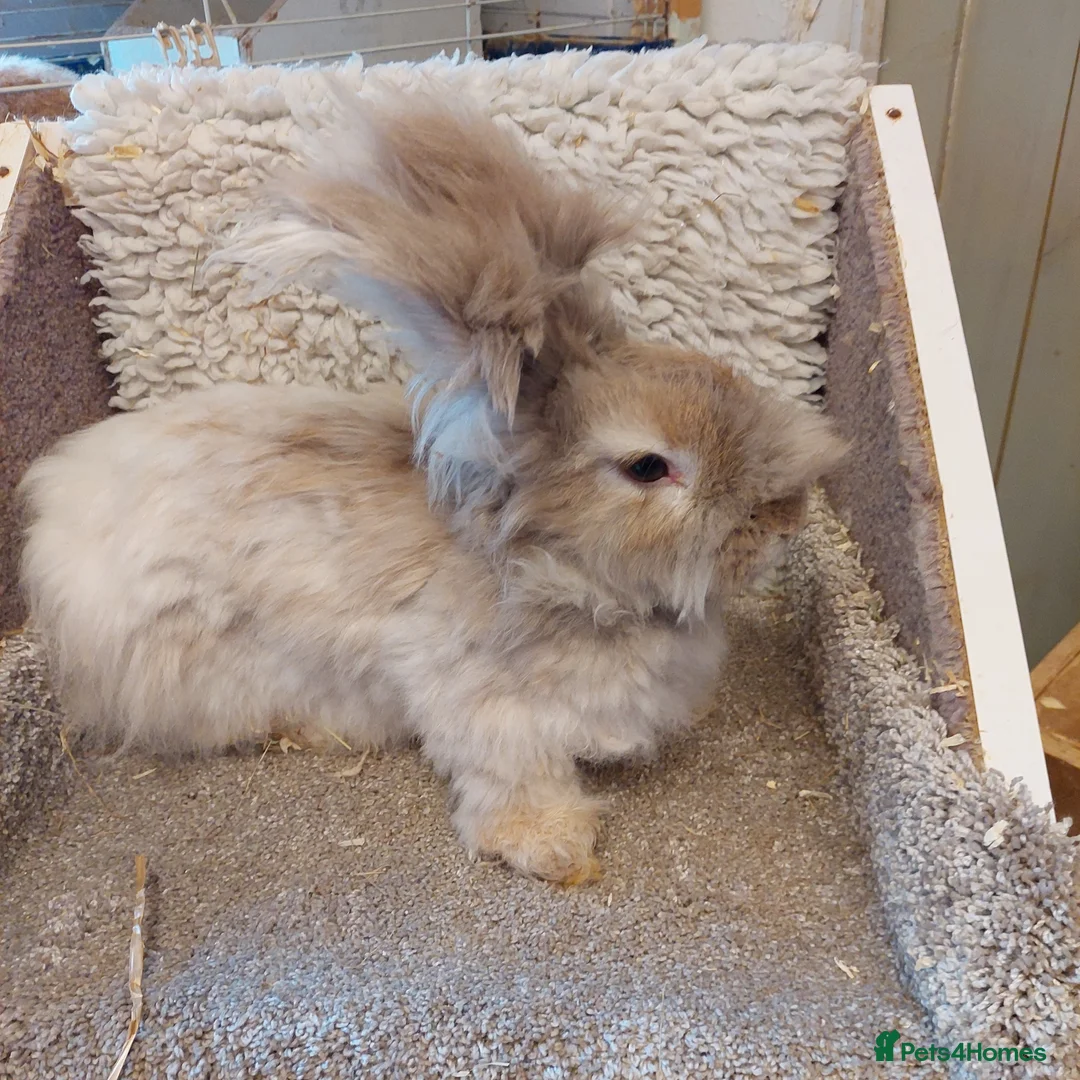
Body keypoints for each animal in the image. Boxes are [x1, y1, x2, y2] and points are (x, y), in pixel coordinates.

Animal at [19, 87, 847, 885]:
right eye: (649, 467)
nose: (784, 520)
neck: (547, 568)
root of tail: (61, 514)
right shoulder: (487, 709)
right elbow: (515, 781)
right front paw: (556, 851)